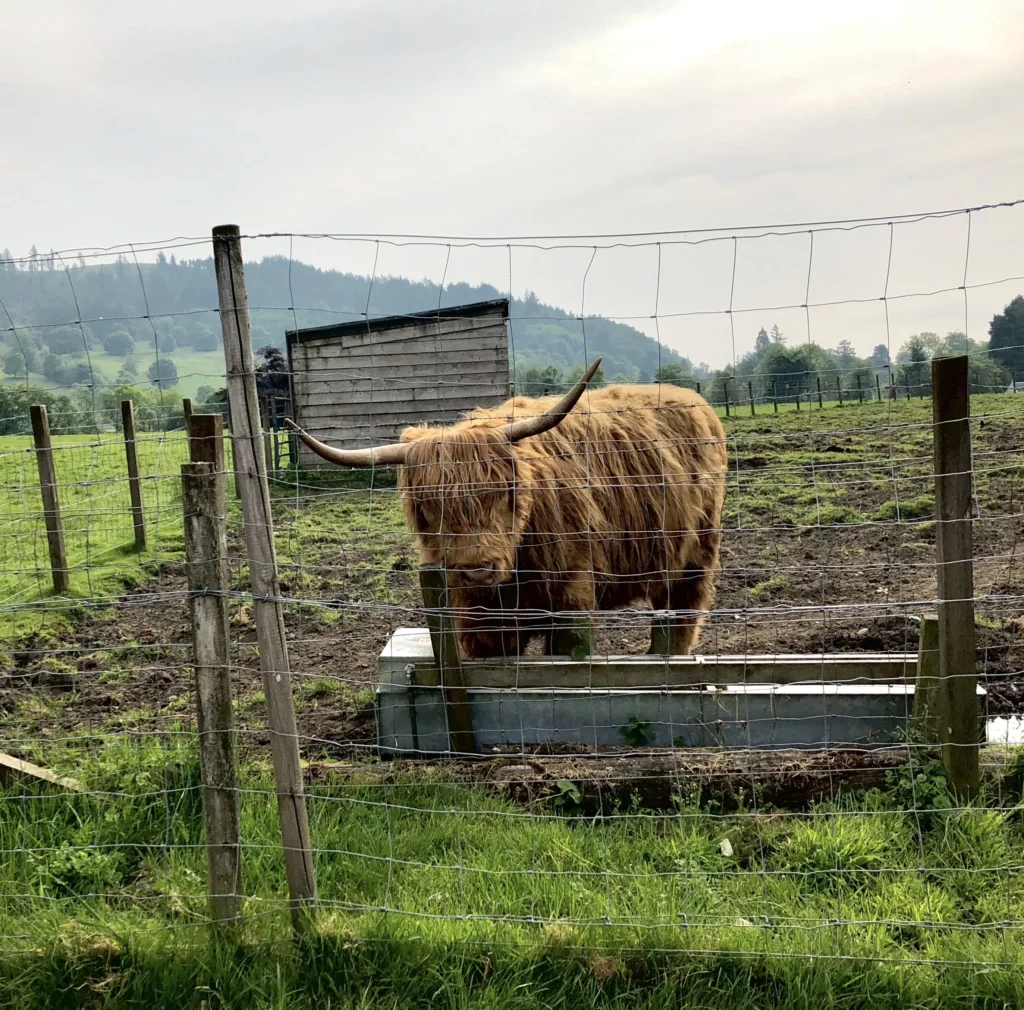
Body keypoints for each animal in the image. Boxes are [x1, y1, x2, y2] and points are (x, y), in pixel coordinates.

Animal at [286, 359, 728, 659]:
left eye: (503, 492)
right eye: (428, 506)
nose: (477, 567)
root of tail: (695, 400)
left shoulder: (571, 595)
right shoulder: (476, 613)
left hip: (697, 553)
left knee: (682, 612)